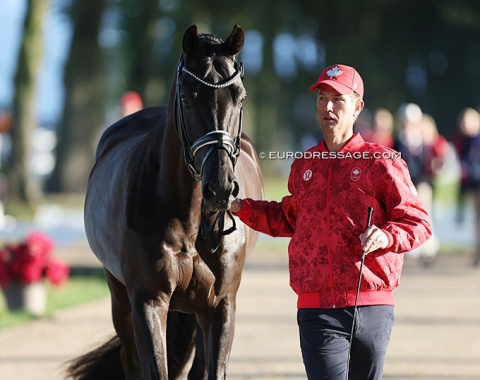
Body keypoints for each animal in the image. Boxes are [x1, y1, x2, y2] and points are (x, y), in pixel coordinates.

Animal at [66, 25, 264, 378]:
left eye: (240, 97)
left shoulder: (221, 305)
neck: (192, 221)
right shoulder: (148, 301)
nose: (220, 187)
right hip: (119, 296)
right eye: (186, 98)